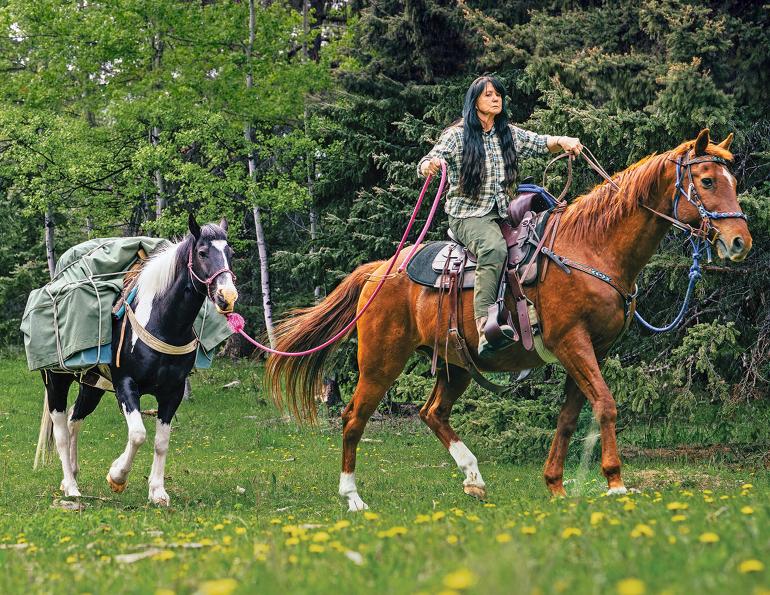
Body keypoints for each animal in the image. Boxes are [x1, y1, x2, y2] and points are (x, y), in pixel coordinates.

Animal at [40, 214, 238, 506]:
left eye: (230, 253)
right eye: (202, 252)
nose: (228, 297)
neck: (162, 323)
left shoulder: (173, 391)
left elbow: (161, 442)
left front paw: (157, 491)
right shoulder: (126, 385)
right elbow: (138, 434)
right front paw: (116, 477)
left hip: (92, 385)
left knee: (75, 418)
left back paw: (72, 476)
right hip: (56, 382)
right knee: (62, 431)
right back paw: (71, 486)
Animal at [265, 129, 752, 511]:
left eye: (733, 181)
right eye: (707, 180)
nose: (739, 242)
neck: (592, 248)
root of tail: (379, 269)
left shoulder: (589, 350)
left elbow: (569, 418)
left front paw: (555, 485)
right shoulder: (573, 342)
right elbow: (606, 404)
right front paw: (615, 482)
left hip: (456, 364)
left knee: (431, 412)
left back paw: (473, 478)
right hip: (381, 362)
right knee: (354, 417)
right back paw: (353, 497)